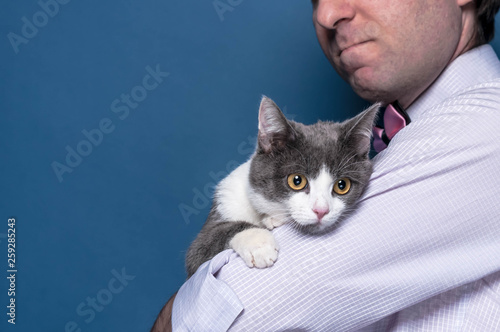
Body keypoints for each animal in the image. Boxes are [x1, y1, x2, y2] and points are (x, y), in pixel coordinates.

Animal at [185, 96, 378, 278]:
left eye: (342, 185)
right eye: (297, 181)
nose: (321, 211)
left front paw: (273, 221)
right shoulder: (226, 200)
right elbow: (208, 240)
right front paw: (258, 243)